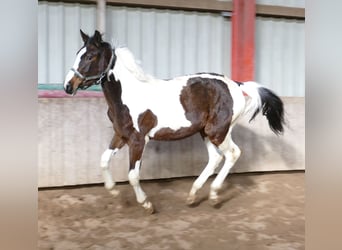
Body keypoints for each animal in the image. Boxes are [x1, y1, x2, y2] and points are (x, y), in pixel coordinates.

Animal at [62, 29, 284, 213]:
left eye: (90, 56)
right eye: (78, 53)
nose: (68, 86)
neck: (128, 95)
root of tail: (236, 85)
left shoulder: (138, 140)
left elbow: (133, 176)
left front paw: (147, 204)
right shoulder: (121, 135)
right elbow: (103, 161)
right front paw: (114, 191)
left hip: (218, 132)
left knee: (232, 154)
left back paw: (213, 195)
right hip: (205, 132)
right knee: (215, 158)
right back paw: (193, 195)